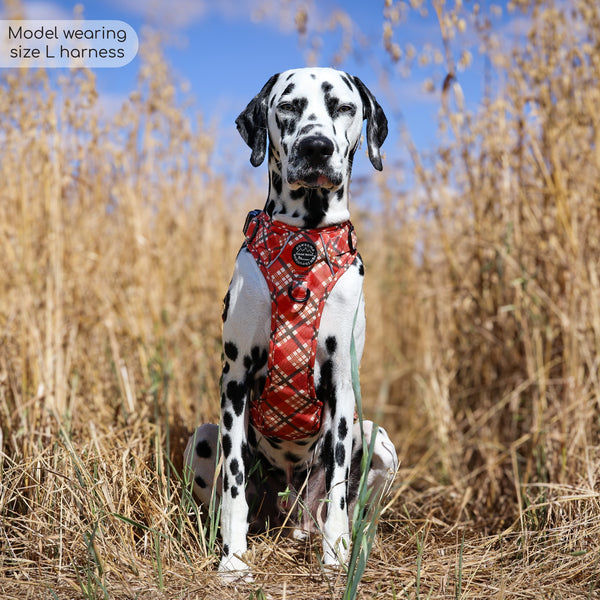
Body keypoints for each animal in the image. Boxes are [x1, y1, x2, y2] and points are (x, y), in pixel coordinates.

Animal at [183, 65, 398, 576]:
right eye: (288, 106)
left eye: (344, 107)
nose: (315, 147)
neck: (305, 243)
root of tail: (290, 510)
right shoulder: (235, 380)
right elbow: (235, 482)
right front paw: (234, 559)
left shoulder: (341, 384)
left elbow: (338, 485)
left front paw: (336, 558)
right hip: (203, 438)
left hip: (377, 440)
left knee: (348, 508)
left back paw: (346, 542)